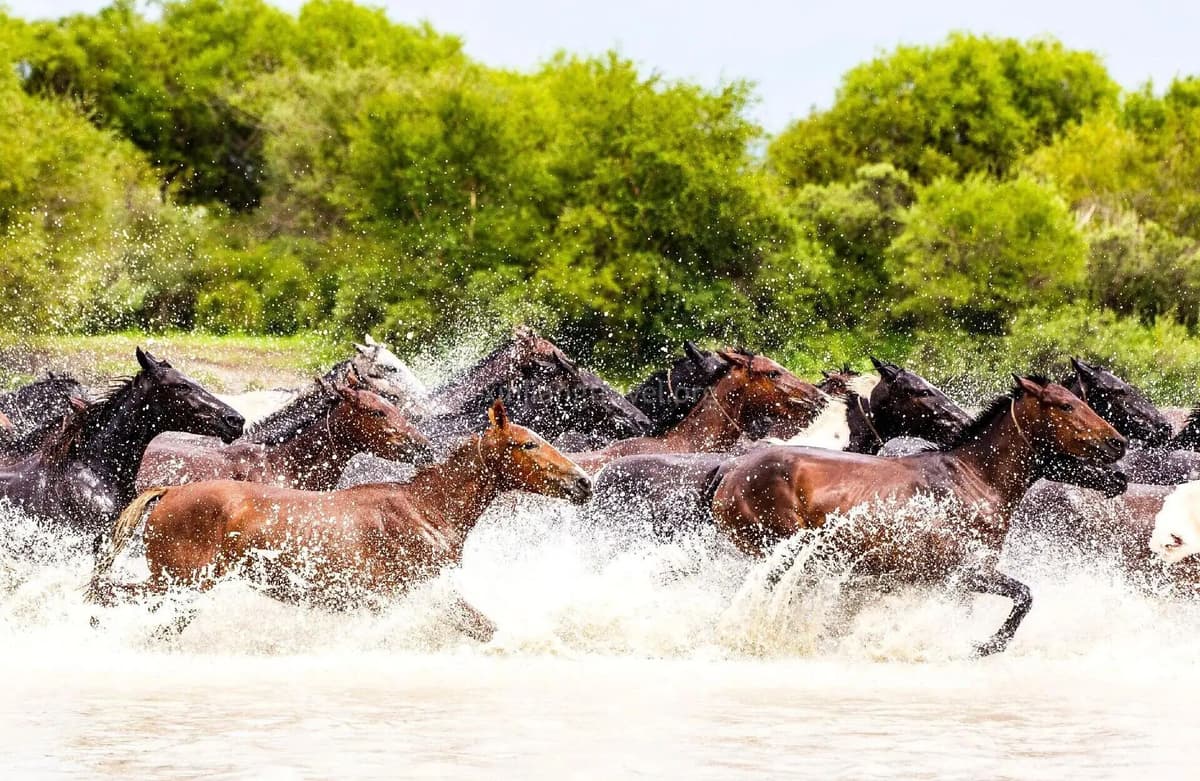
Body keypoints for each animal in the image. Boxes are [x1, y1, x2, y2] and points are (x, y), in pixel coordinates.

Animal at [88, 400, 591, 642]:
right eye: (526, 444)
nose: (583, 482)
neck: (427, 509)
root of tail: (168, 492)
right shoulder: (414, 597)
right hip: (178, 585)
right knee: (103, 593)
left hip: (182, 593)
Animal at [709, 376, 1126, 656]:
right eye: (1066, 405)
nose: (1118, 445)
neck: (975, 481)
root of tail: (729, 474)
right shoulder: (965, 573)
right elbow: (1024, 596)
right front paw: (983, 646)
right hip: (783, 553)